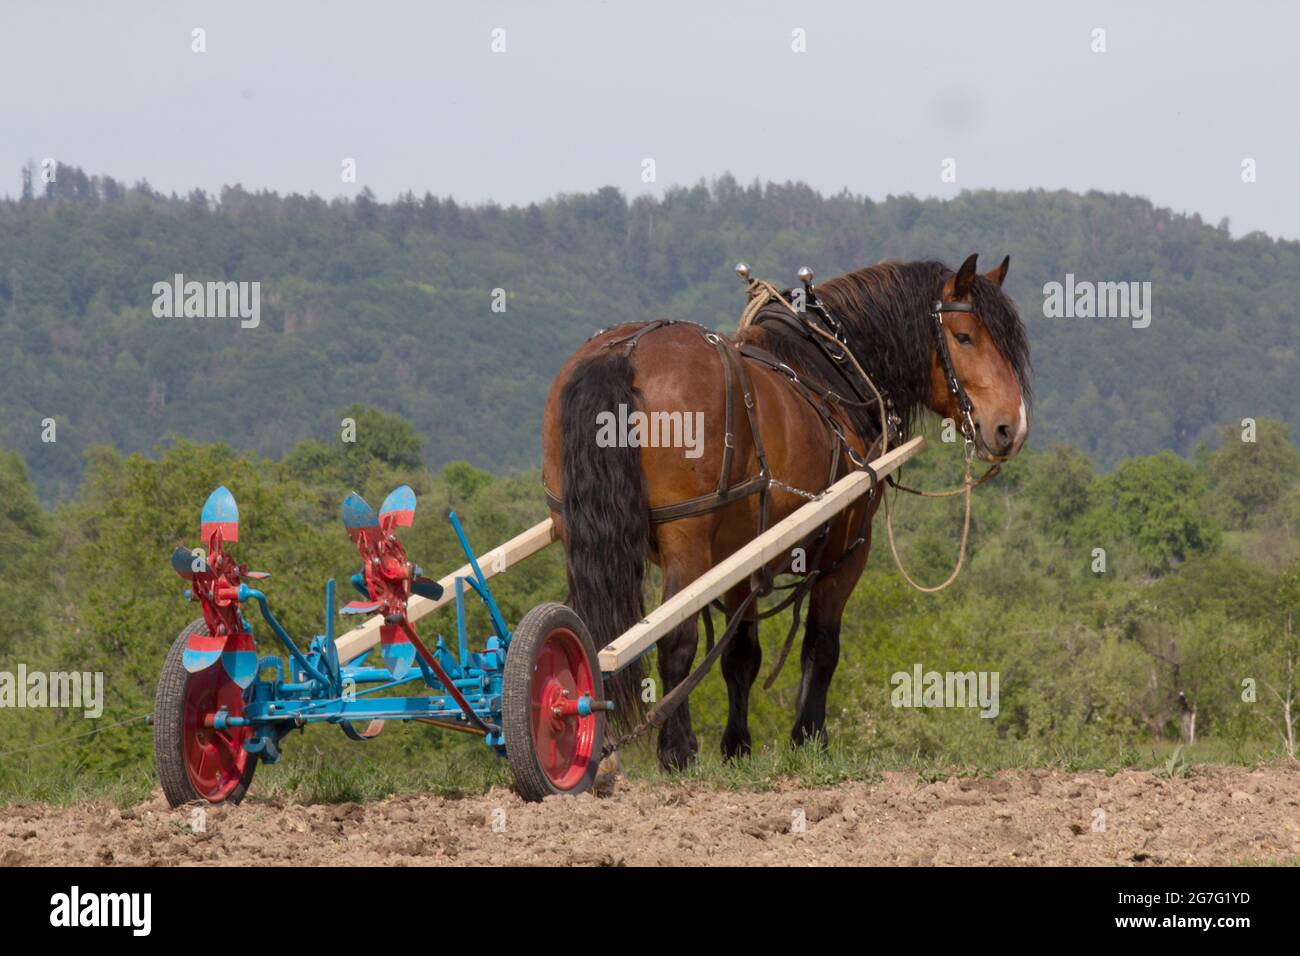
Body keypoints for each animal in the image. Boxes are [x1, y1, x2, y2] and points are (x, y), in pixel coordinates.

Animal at [535, 254, 1024, 770]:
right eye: (965, 336)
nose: (1009, 427)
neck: (830, 370)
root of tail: (625, 352)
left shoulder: (739, 557)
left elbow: (741, 656)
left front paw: (737, 746)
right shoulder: (847, 551)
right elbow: (821, 647)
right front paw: (808, 738)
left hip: (579, 531)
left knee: (589, 636)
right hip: (685, 538)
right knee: (676, 638)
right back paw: (677, 749)